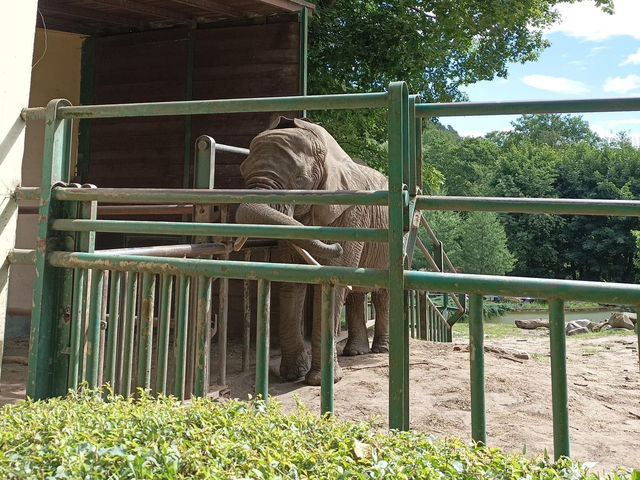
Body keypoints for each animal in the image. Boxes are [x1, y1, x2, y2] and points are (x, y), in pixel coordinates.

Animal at [236, 117, 390, 386]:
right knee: (356, 293)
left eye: (299, 179)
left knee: (381, 292)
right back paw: (355, 353)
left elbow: (333, 280)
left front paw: (320, 381)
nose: (336, 248)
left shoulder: (352, 213)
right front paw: (292, 375)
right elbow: (291, 281)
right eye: (243, 172)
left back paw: (381, 350)